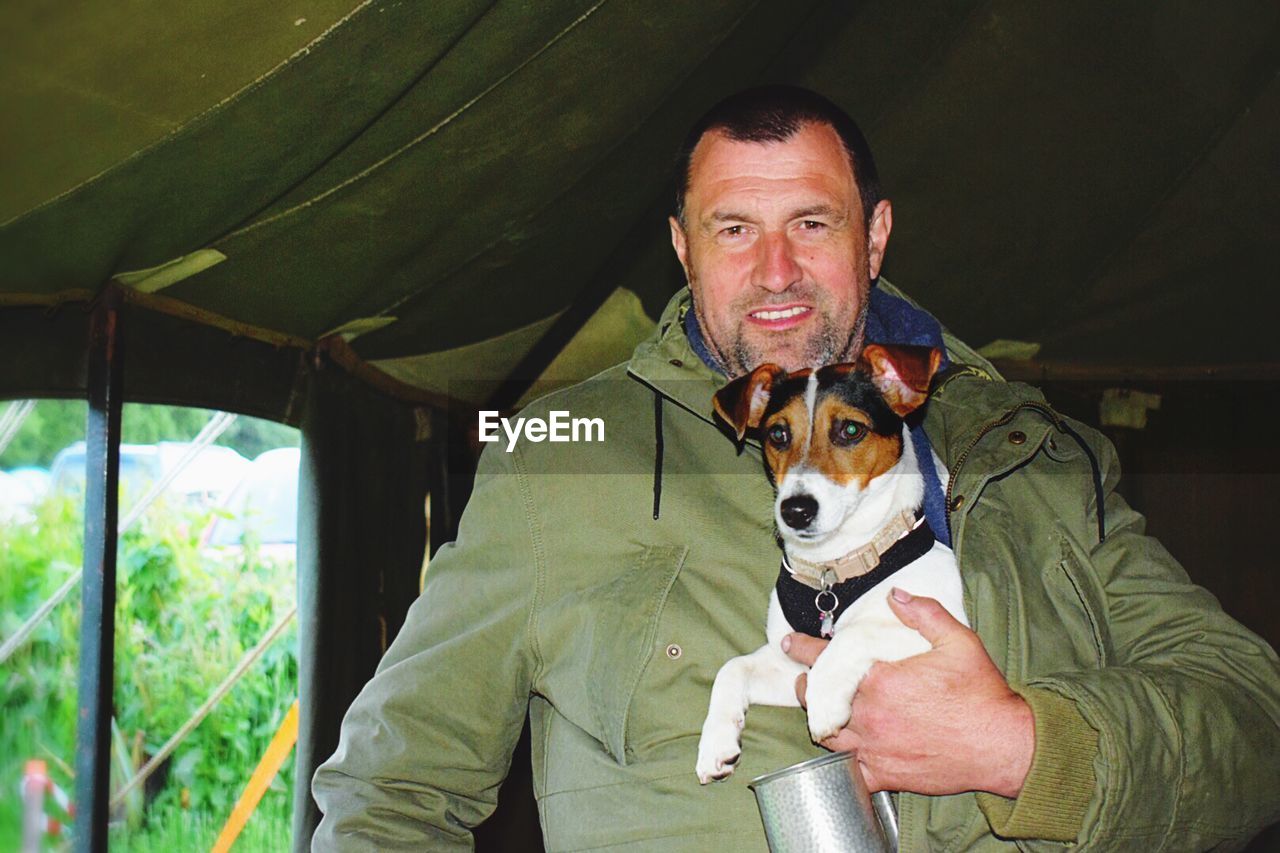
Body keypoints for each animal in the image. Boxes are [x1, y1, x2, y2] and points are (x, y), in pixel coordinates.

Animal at [696, 343, 962, 778]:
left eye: (851, 430)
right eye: (778, 434)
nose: (795, 511)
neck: (832, 568)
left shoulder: (927, 636)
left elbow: (855, 634)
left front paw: (822, 704)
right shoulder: (791, 666)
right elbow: (732, 668)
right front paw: (715, 741)